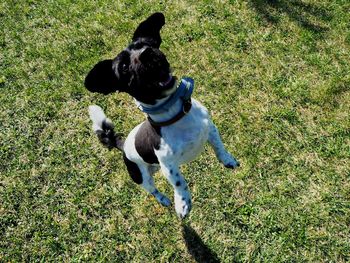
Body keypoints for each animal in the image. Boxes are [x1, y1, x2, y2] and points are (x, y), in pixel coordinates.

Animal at [84, 12, 241, 219]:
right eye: (124, 66)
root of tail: (121, 144)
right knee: (152, 190)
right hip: (140, 176)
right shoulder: (168, 166)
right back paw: (164, 200)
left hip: (154, 166)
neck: (177, 114)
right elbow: (180, 182)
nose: (146, 53)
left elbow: (219, 147)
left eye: (148, 44)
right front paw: (182, 203)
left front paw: (227, 159)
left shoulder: (211, 129)